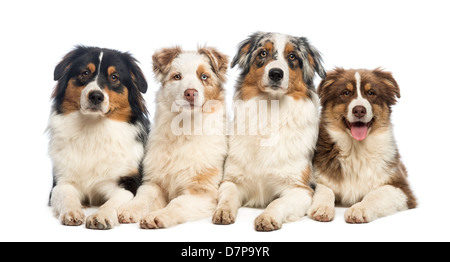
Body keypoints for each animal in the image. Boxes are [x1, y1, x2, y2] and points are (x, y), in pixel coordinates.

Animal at [118, 46, 229, 228]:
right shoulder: (154, 181)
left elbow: (177, 203)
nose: (190, 93)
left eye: (204, 76)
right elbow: (144, 196)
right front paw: (129, 209)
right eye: (177, 76)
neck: (184, 130)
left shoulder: (204, 192)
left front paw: (158, 216)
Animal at [213, 31, 326, 230]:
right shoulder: (233, 179)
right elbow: (228, 195)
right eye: (263, 53)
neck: (271, 111)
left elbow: (277, 202)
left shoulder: (300, 188)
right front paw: (223, 211)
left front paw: (267, 217)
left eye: (292, 56)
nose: (275, 73)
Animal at [310, 68, 418, 223]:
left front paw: (359, 209)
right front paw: (322, 208)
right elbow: (325, 190)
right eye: (345, 93)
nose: (359, 110)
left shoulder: (402, 189)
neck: (356, 149)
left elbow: (376, 194)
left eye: (371, 93)